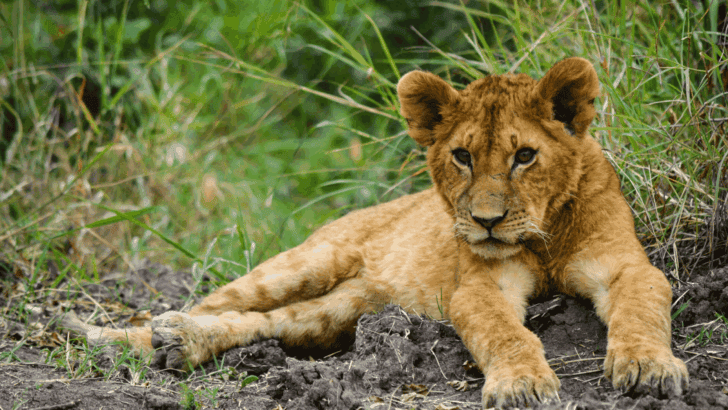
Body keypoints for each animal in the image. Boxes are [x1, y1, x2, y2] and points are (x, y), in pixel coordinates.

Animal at [62, 57, 688, 408]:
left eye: (525, 156)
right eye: (462, 156)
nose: (485, 221)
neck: (543, 236)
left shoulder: (627, 265)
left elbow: (641, 309)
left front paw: (649, 368)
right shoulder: (479, 285)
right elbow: (506, 333)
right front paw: (522, 384)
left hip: (338, 313)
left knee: (264, 324)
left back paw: (182, 343)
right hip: (305, 262)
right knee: (211, 303)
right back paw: (126, 337)